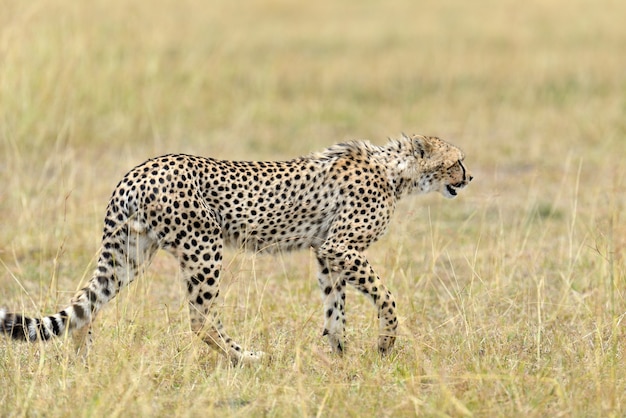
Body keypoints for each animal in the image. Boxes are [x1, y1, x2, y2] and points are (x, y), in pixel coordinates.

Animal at [0, 134, 468, 362]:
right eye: (457, 160)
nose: (469, 177)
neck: (396, 170)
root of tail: (137, 170)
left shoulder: (326, 251)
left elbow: (335, 305)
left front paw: (340, 353)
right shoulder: (340, 246)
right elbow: (385, 297)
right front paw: (385, 343)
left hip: (129, 255)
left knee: (86, 305)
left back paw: (83, 362)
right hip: (203, 247)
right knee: (201, 320)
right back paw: (247, 357)